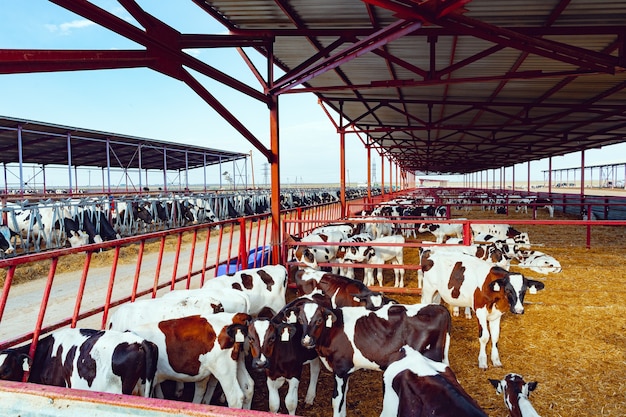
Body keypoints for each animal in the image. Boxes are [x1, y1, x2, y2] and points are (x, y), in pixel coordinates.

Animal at [282, 300, 448, 416]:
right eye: (300, 319)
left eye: (319, 320)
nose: (306, 341)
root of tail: (440, 308)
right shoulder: (347, 370)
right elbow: (343, 400)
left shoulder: (340, 369)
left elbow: (337, 401)